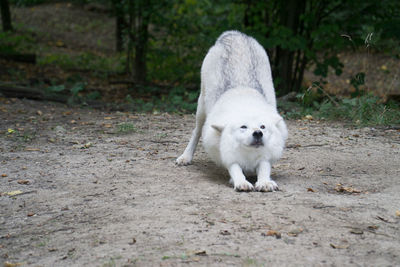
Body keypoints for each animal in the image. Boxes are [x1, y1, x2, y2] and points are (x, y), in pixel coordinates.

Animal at [177, 30, 286, 192]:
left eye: (262, 127)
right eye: (243, 127)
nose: (258, 133)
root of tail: (235, 34)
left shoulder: (267, 155)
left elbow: (264, 167)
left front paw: (265, 182)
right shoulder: (226, 154)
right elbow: (235, 168)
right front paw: (240, 181)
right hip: (201, 109)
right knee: (196, 132)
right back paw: (185, 157)